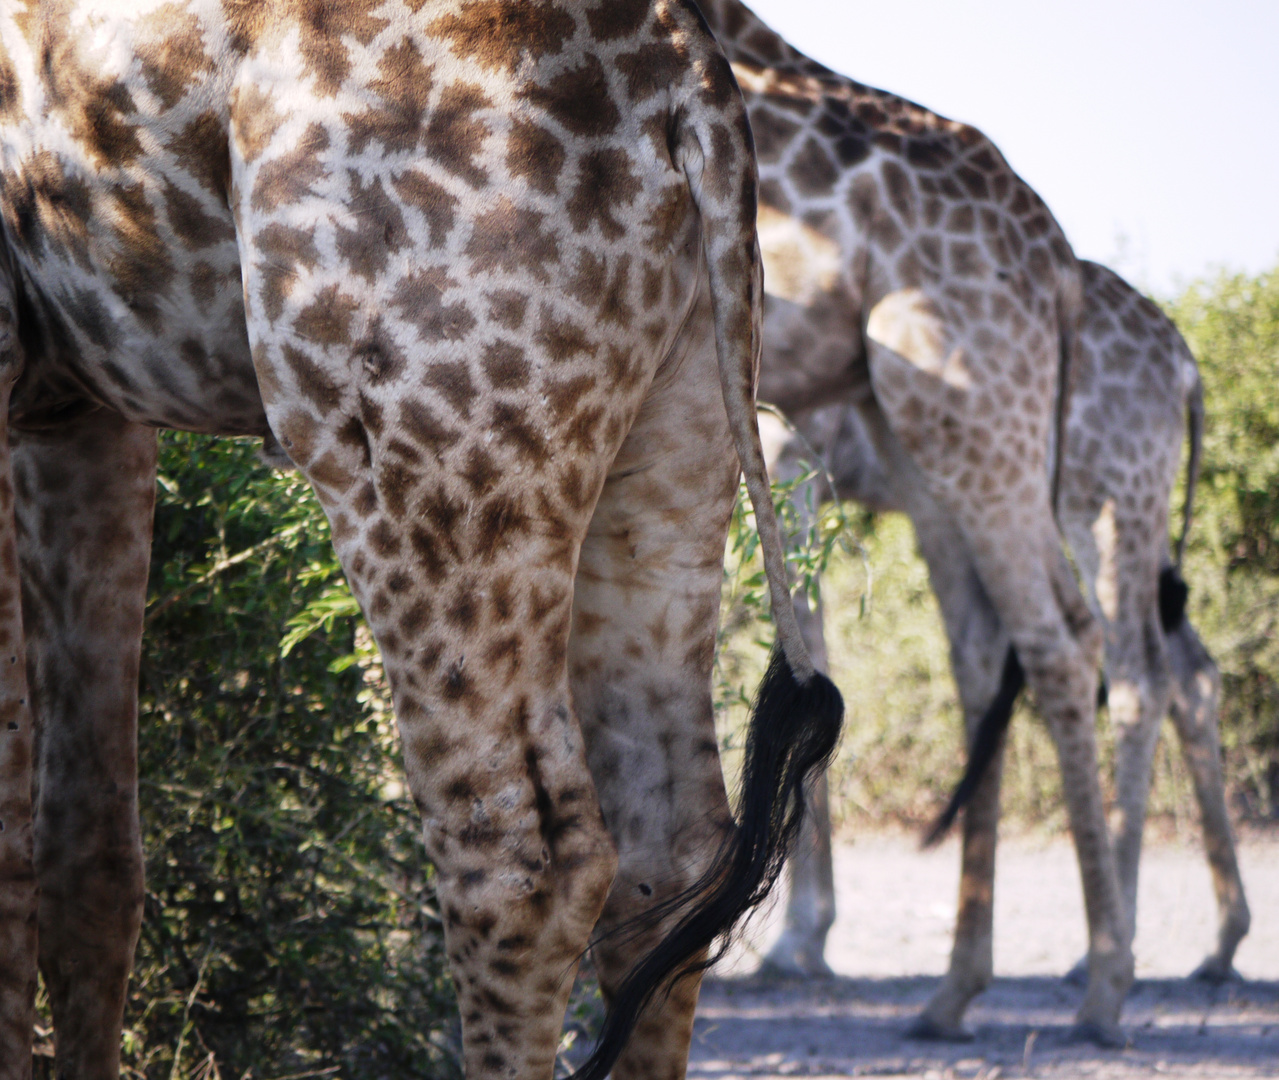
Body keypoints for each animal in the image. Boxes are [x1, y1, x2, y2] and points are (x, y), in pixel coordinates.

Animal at [0, 2, 849, 1080]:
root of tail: (689, 79)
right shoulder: (83, 410)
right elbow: (87, 850)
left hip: (423, 459)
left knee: (522, 860)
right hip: (678, 437)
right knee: (672, 853)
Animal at [695, 2, 1135, 1044]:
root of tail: (1057, 266)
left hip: (972, 414)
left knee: (1056, 644)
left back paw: (1100, 989)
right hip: (947, 441)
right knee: (998, 653)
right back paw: (952, 990)